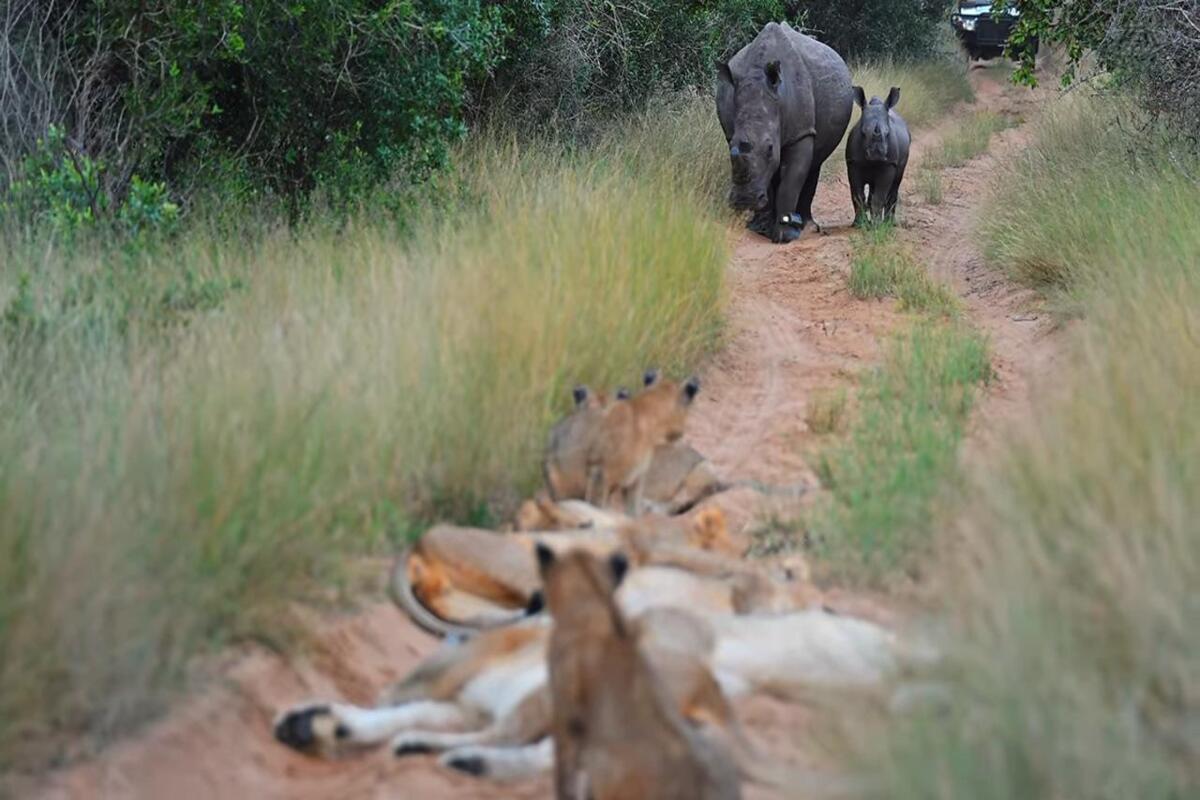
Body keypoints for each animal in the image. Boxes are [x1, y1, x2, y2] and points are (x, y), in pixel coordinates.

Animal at [717, 22, 853, 244]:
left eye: (770, 148)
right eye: (731, 147)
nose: (744, 200)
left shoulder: (801, 132)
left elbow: (791, 181)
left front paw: (785, 237)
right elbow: (768, 177)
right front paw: (761, 229)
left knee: (815, 162)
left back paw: (808, 227)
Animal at [846, 86, 911, 224]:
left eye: (887, 133)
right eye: (863, 132)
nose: (877, 154)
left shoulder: (889, 164)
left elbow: (879, 196)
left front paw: (876, 225)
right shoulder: (853, 164)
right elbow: (857, 195)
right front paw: (859, 224)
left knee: (895, 184)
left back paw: (889, 223)